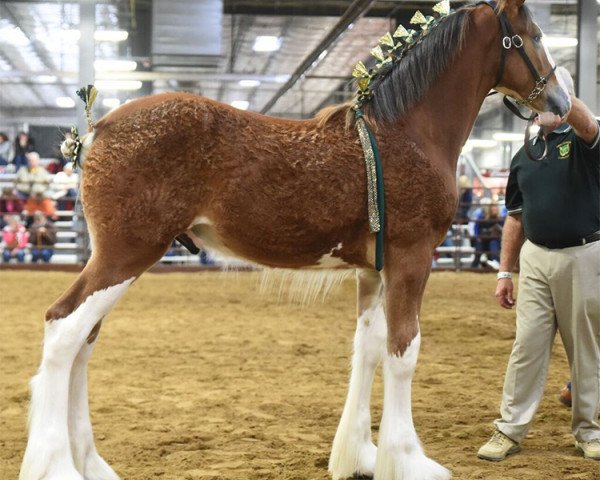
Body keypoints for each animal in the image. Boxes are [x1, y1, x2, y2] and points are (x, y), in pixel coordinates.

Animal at [21, 0, 568, 480]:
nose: (562, 104)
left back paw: (92, 465)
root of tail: (96, 131)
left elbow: (368, 347)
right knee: (63, 330)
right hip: (125, 256)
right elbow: (402, 351)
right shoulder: (412, 260)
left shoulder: (372, 270)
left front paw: (359, 456)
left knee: (83, 341)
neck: (408, 132)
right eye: (536, 36)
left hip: (115, 261)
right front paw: (409, 461)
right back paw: (57, 466)